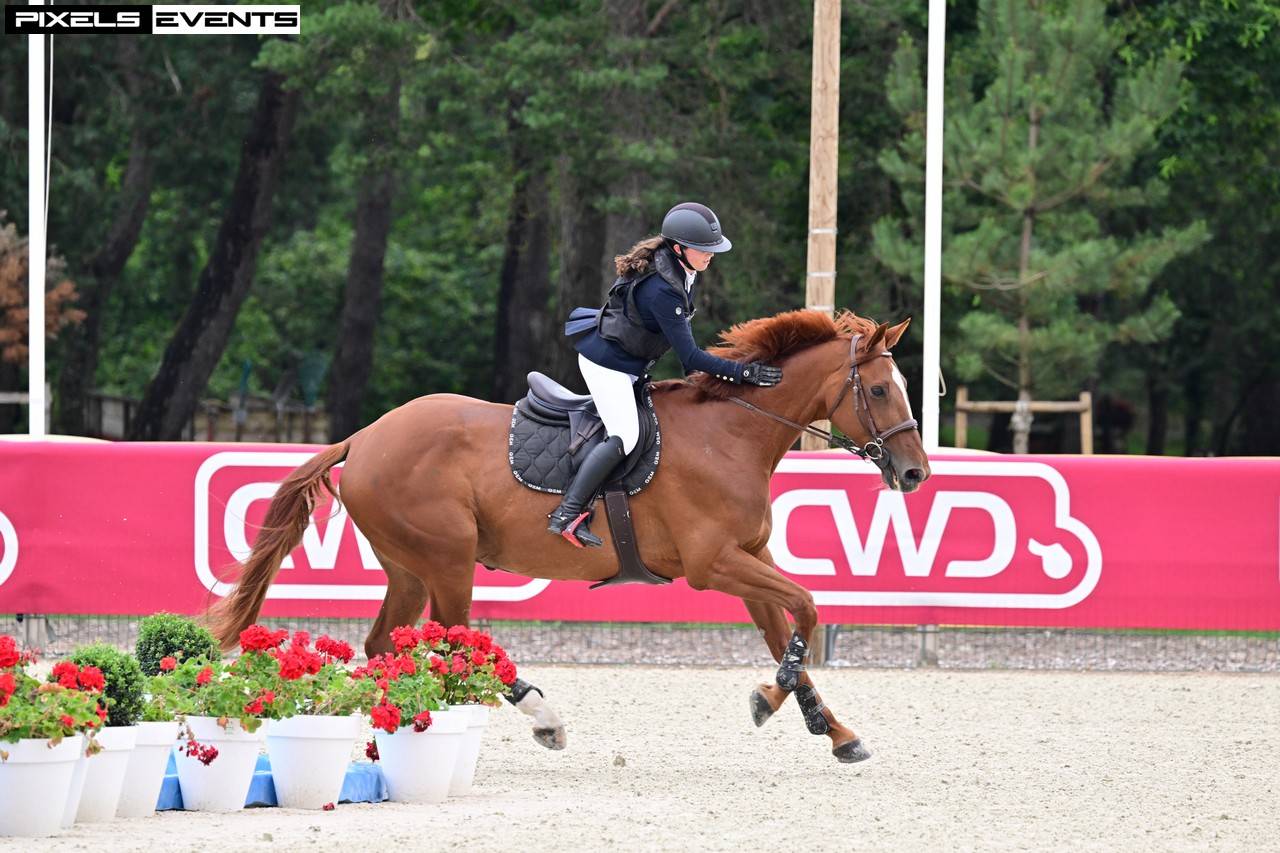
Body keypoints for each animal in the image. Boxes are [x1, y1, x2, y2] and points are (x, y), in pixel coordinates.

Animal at [207, 309, 931, 762]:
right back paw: (538, 715)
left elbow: (790, 634)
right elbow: (807, 607)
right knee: (455, 643)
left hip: (410, 568)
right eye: (878, 390)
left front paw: (830, 728)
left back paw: (393, 738)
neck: (731, 434)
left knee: (386, 643)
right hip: (449, 562)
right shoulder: (715, 564)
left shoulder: (749, 559)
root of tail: (363, 437)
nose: (916, 473)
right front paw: (769, 698)